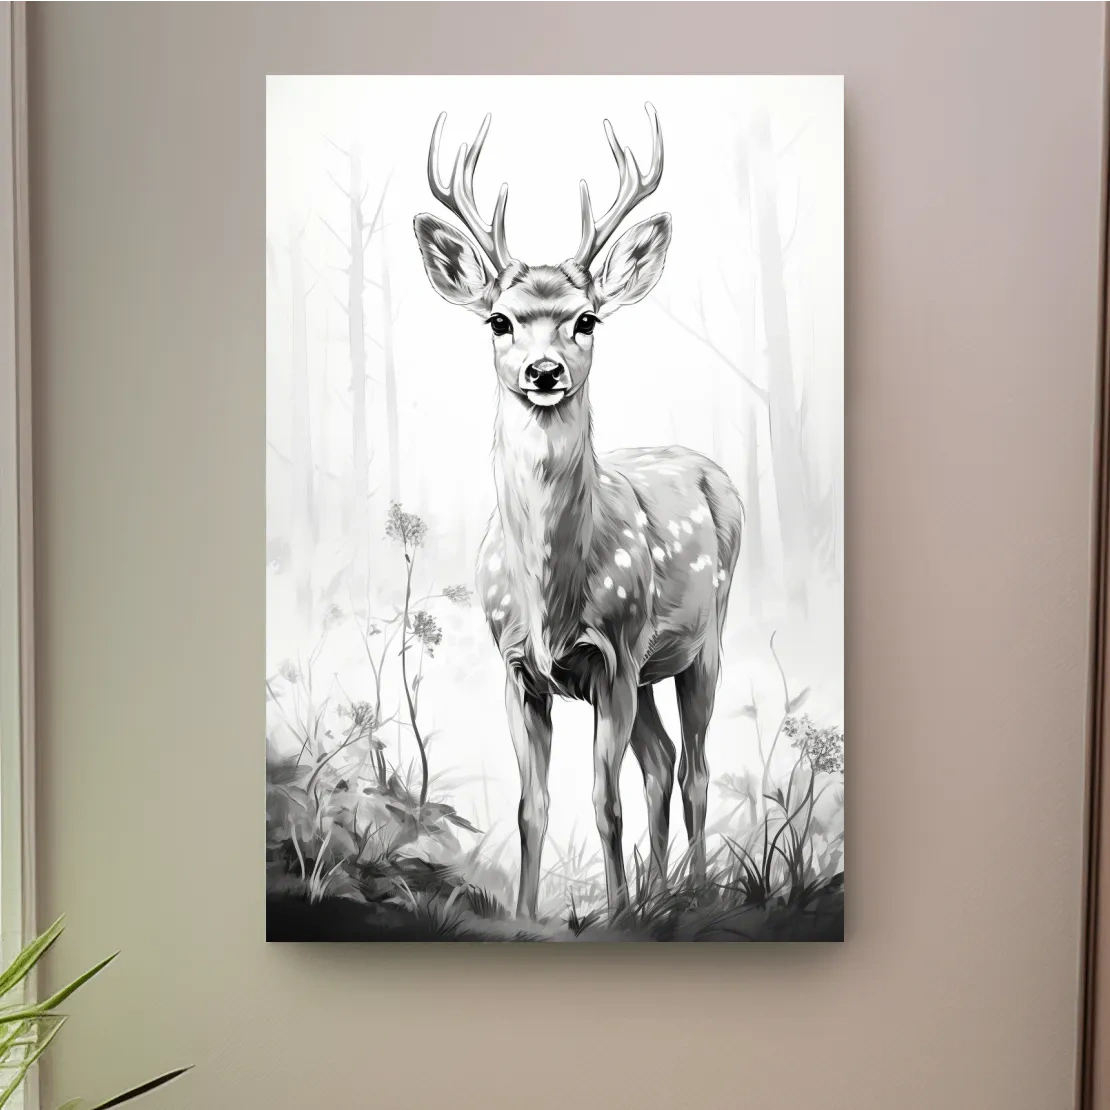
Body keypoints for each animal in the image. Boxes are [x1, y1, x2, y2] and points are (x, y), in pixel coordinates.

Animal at [413, 103, 743, 920]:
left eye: (588, 319)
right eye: (498, 321)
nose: (544, 371)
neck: (549, 602)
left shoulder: (614, 655)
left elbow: (604, 801)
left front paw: (617, 915)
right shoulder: (517, 670)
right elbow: (531, 808)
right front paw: (528, 918)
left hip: (704, 641)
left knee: (693, 767)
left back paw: (688, 896)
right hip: (652, 669)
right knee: (661, 759)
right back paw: (661, 893)